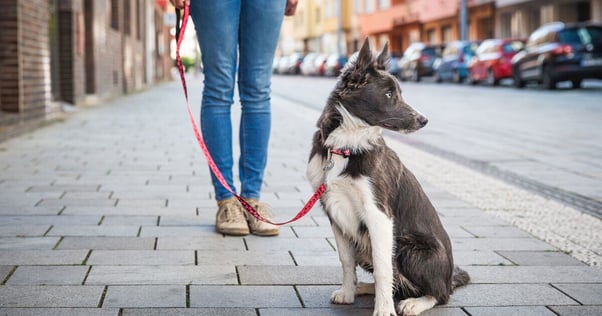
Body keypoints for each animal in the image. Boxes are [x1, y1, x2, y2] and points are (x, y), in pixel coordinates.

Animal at [304, 40, 468, 316]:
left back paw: (414, 302)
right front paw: (348, 292)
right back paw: (363, 288)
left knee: (439, 294)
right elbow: (346, 259)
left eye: (398, 92)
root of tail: (450, 277)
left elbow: (383, 268)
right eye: (389, 94)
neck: (347, 146)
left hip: (409, 246)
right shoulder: (334, 211)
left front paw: (384, 309)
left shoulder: (378, 215)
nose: (424, 120)